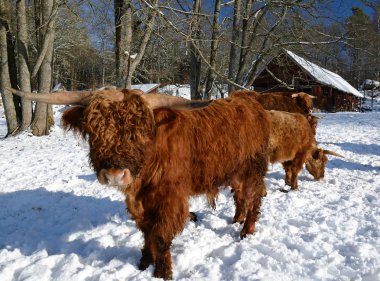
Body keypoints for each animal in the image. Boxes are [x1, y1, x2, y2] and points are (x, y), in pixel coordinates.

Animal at [8, 87, 270, 278]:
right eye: (94, 130)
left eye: (139, 132)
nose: (114, 175)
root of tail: (249, 98)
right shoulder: (139, 200)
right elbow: (146, 231)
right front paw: (144, 261)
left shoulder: (170, 198)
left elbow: (161, 235)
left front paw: (163, 272)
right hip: (235, 171)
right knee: (240, 195)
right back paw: (237, 219)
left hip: (253, 169)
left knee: (254, 197)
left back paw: (246, 230)